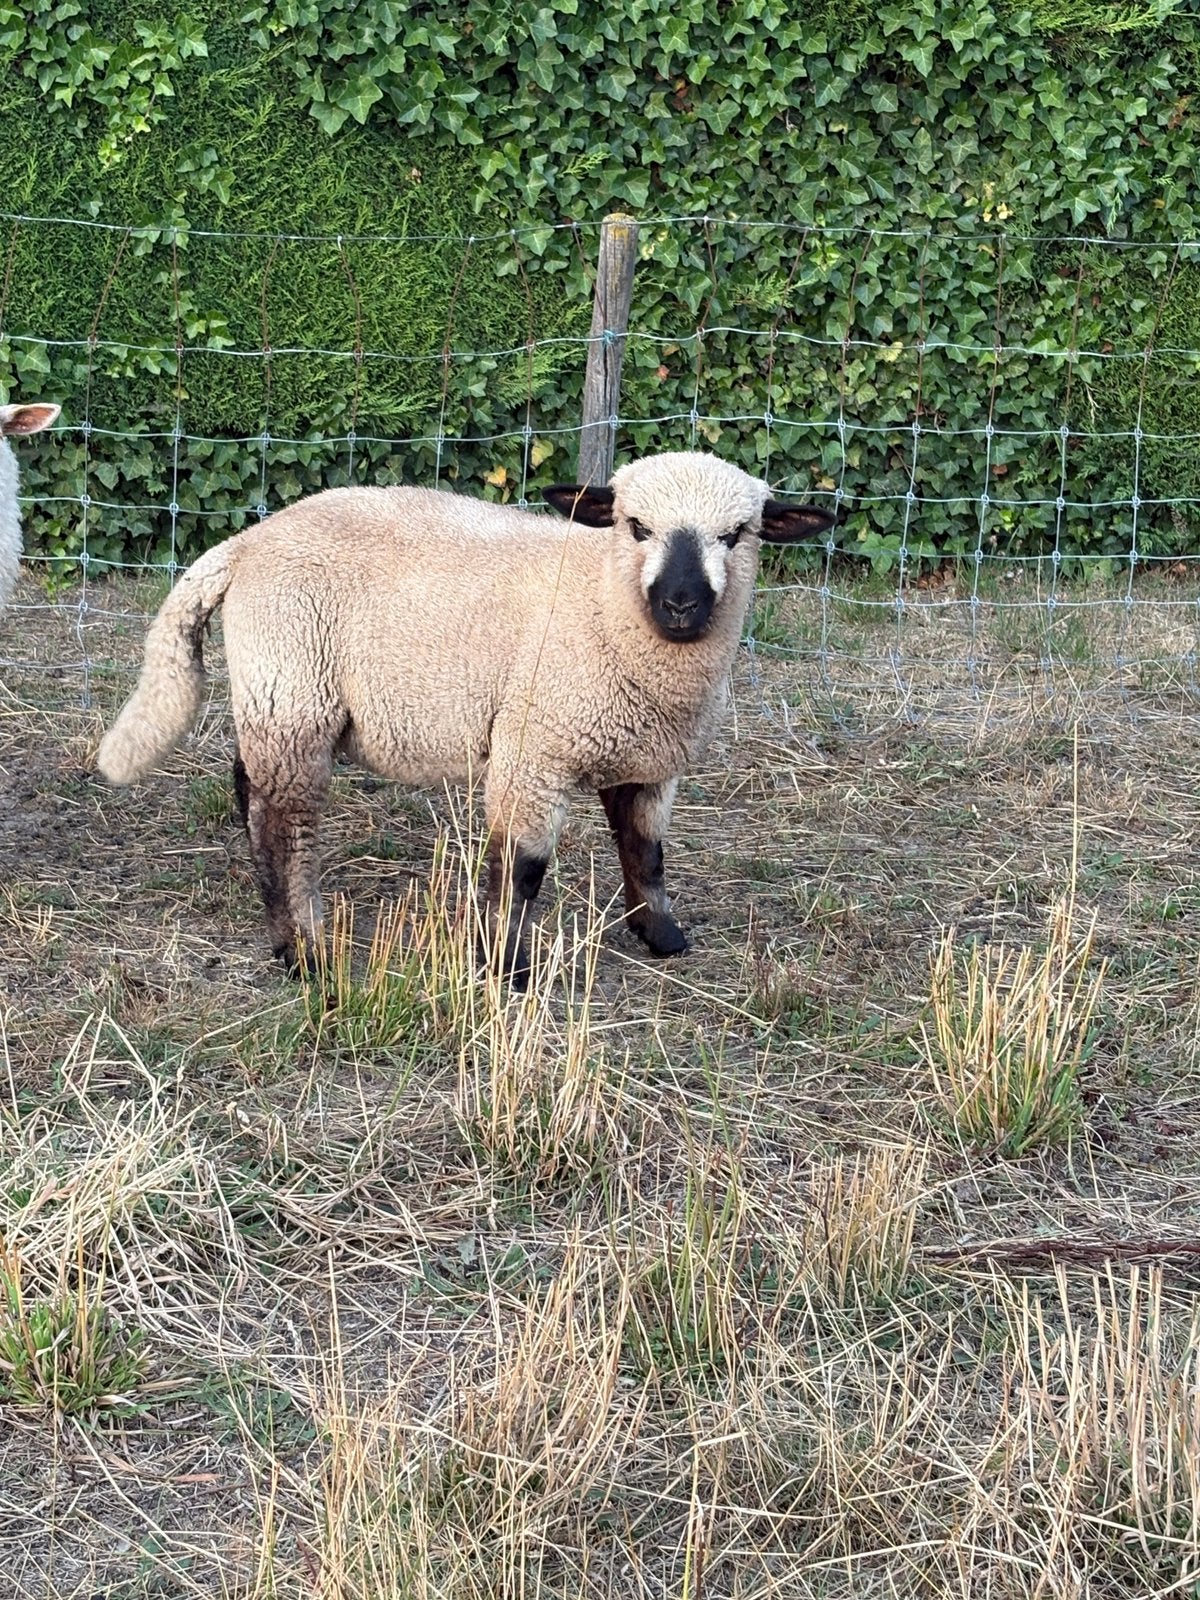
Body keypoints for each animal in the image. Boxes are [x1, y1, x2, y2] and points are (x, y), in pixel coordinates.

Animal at [97, 450, 838, 985]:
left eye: (736, 536)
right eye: (636, 527)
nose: (681, 604)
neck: (602, 602)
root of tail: (247, 543)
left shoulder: (650, 761)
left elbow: (645, 852)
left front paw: (662, 935)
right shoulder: (534, 748)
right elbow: (521, 869)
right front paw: (505, 967)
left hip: (278, 693)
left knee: (249, 789)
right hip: (293, 681)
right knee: (284, 824)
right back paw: (303, 953)